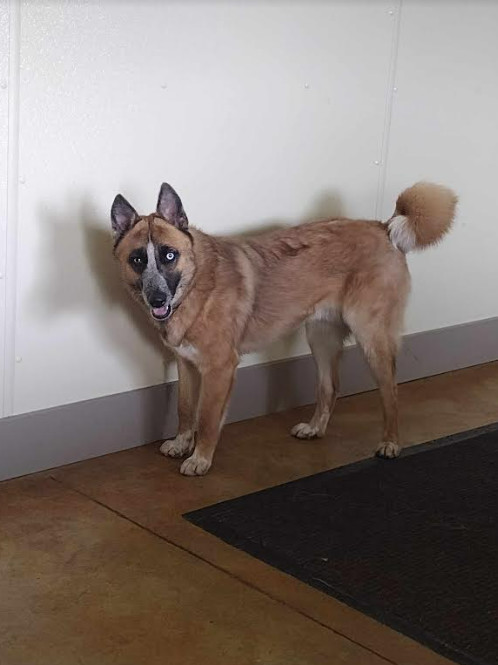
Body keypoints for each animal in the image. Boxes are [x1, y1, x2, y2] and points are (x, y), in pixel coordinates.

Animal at [111, 179, 458, 474]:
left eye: (169, 255)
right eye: (138, 260)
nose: (156, 298)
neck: (196, 284)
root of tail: (383, 227)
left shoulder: (219, 369)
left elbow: (207, 418)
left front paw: (200, 458)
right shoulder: (186, 365)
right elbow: (185, 409)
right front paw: (182, 443)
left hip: (372, 338)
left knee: (391, 393)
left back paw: (390, 442)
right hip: (319, 337)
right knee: (330, 387)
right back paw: (316, 428)